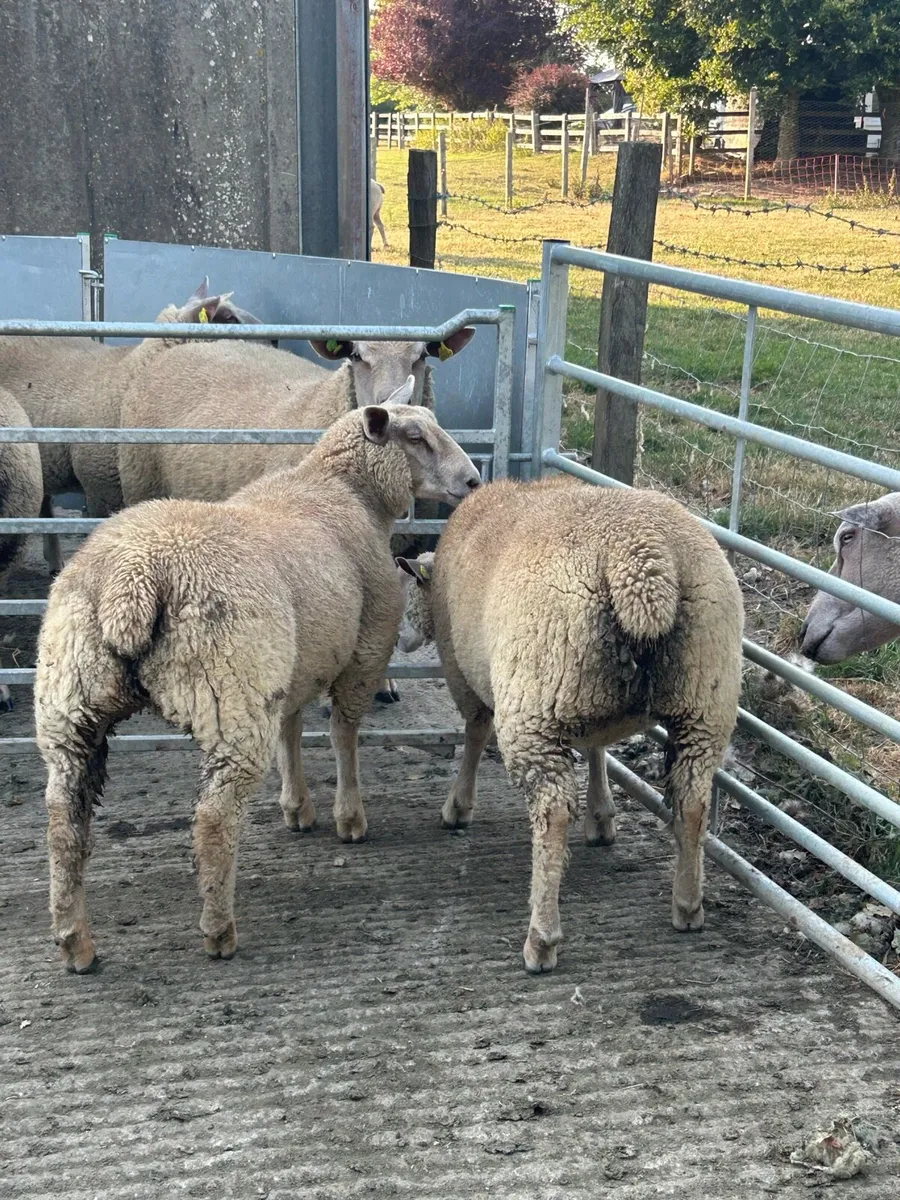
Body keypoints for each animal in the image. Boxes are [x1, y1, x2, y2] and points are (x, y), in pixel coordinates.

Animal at [35, 404, 480, 973]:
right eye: (416, 437)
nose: (473, 481)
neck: (341, 490)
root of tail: (133, 582)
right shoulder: (364, 649)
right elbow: (344, 735)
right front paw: (348, 818)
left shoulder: (291, 664)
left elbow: (291, 730)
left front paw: (297, 809)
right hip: (232, 695)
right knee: (213, 819)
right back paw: (219, 931)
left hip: (70, 700)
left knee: (63, 818)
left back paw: (75, 943)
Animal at [396, 476, 744, 974]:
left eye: (409, 591)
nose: (401, 640)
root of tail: (644, 562)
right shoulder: (588, 703)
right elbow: (598, 748)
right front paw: (601, 816)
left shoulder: (462, 673)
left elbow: (475, 733)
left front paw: (458, 807)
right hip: (704, 699)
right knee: (693, 801)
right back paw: (688, 905)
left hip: (534, 701)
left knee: (553, 812)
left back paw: (541, 939)